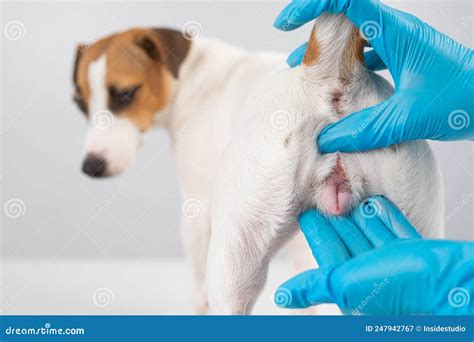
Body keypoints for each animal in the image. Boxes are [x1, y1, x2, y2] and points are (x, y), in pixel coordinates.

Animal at [73, 14, 444, 316]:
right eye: (80, 103)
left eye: (124, 95)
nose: (91, 167)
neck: (193, 76)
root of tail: (326, 73)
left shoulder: (196, 210)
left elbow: (197, 279)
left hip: (233, 259)